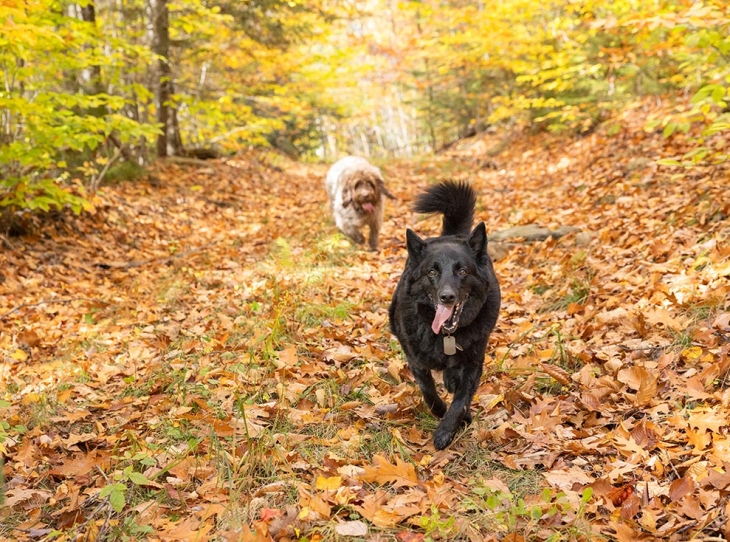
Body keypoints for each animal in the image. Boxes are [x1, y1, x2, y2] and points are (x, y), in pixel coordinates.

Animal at [386, 182, 500, 450]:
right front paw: (442, 413)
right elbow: (430, 394)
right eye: (431, 272)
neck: (446, 334)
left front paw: (448, 428)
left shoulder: (473, 363)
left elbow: (460, 400)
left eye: (462, 271)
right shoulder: (416, 362)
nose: (447, 297)